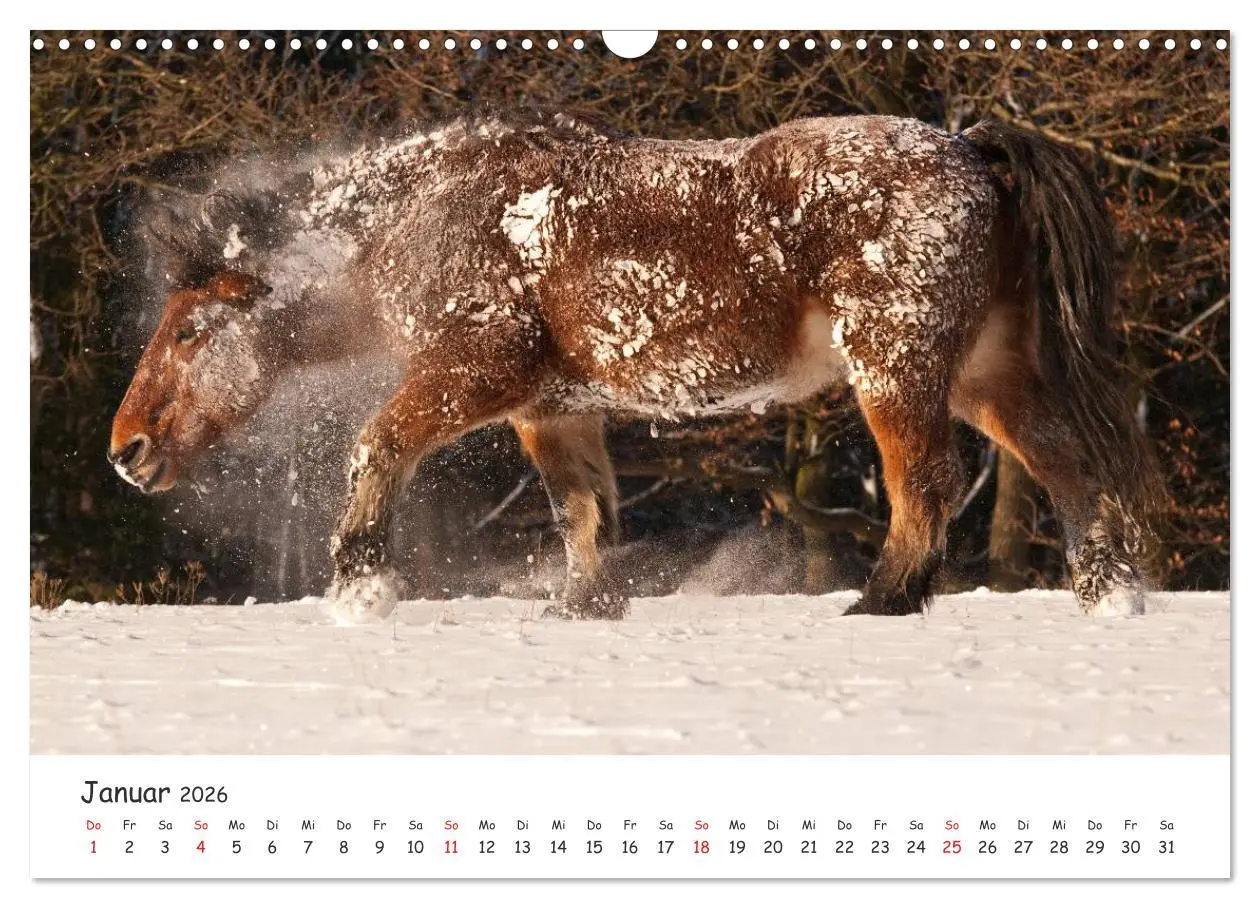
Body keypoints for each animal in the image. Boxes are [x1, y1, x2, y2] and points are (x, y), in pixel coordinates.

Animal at [109, 109, 1163, 618]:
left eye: (190, 332)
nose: (126, 451)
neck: (427, 215)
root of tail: (974, 151)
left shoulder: (474, 376)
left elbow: (377, 445)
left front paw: (361, 585)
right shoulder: (550, 407)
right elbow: (582, 513)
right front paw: (582, 607)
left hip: (897, 369)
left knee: (928, 486)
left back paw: (885, 600)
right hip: (989, 376)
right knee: (1072, 469)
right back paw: (1109, 597)